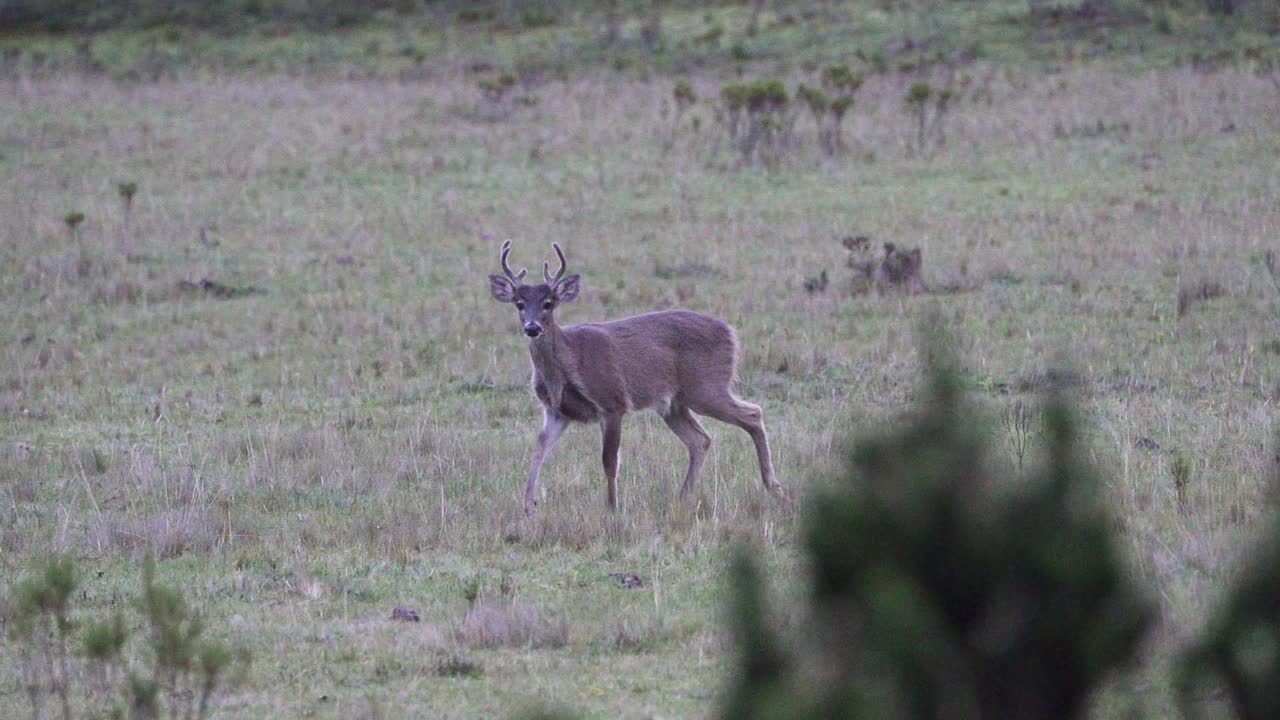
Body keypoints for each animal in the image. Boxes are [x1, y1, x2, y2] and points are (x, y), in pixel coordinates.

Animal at [486, 242, 778, 515]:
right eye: (520, 304)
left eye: (548, 303)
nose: (532, 328)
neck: (569, 361)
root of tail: (731, 332)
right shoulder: (557, 411)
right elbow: (538, 449)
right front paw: (529, 506)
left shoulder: (612, 402)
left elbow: (609, 459)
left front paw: (612, 507)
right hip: (674, 403)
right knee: (700, 440)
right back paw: (683, 496)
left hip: (707, 386)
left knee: (753, 413)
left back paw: (772, 486)